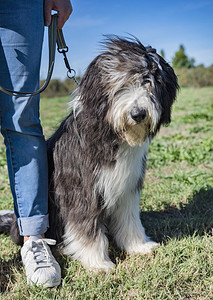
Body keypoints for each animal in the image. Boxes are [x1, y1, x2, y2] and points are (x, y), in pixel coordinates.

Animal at [1, 36, 179, 274]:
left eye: (150, 81)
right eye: (122, 84)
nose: (138, 114)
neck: (111, 135)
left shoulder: (127, 187)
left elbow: (129, 219)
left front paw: (139, 246)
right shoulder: (82, 189)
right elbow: (86, 228)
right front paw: (98, 262)